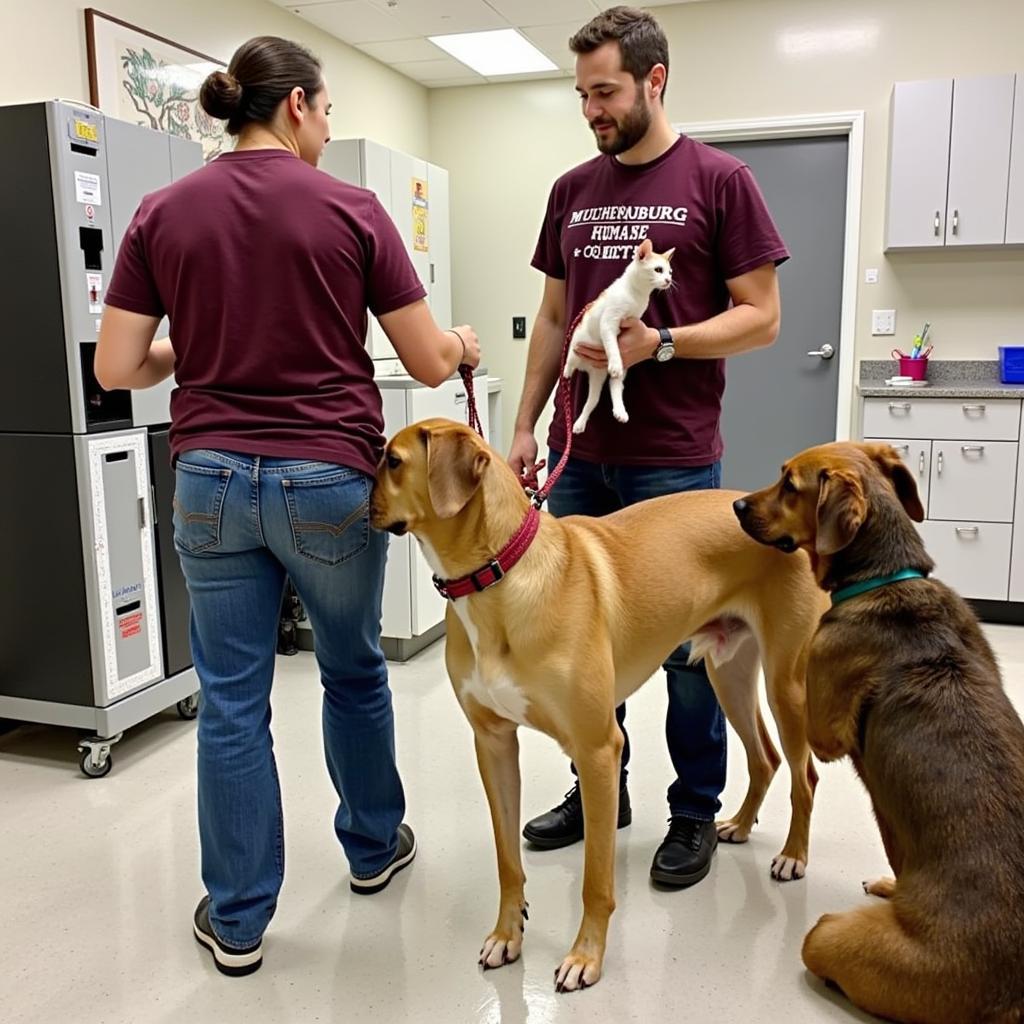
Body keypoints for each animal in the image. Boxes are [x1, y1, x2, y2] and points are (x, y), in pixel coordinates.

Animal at [368, 417, 823, 991]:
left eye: (392, 460)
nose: (363, 504)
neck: (497, 577)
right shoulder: (494, 744)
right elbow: (506, 860)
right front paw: (506, 935)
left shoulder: (599, 748)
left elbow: (596, 881)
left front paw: (586, 957)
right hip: (730, 673)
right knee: (764, 756)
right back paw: (738, 825)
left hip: (787, 683)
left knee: (804, 773)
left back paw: (793, 855)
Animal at [561, 238, 671, 432]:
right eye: (658, 269)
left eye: (670, 272)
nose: (668, 280)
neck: (637, 295)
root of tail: (586, 367)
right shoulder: (608, 323)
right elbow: (612, 346)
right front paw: (614, 361)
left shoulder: (630, 324)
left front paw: (616, 364)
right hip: (576, 346)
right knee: (571, 360)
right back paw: (567, 371)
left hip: (603, 378)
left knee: (600, 397)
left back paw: (613, 412)